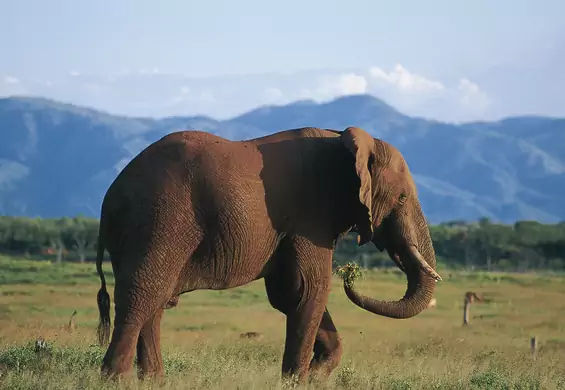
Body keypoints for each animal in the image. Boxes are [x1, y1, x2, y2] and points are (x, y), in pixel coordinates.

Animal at [96, 126, 440, 382]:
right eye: (402, 197)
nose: (350, 276)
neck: (344, 141)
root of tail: (110, 195)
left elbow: (288, 294)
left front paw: (317, 374)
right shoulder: (311, 215)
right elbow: (309, 290)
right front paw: (298, 380)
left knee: (155, 302)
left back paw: (154, 381)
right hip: (160, 222)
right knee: (142, 295)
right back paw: (115, 379)